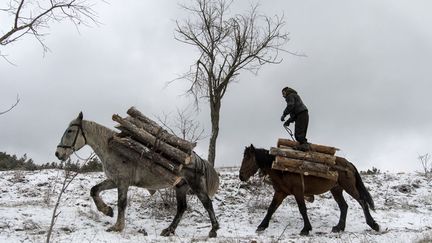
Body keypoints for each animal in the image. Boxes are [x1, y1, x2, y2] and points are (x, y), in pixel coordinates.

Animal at [54, 112, 219, 237]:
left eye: (70, 131)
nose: (58, 153)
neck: (112, 148)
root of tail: (196, 159)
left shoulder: (122, 182)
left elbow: (122, 203)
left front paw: (117, 227)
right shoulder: (113, 180)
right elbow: (94, 190)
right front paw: (107, 211)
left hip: (195, 185)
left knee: (207, 204)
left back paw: (213, 230)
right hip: (180, 187)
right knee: (181, 208)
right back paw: (169, 230)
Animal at [238, 144, 380, 235]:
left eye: (248, 158)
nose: (241, 176)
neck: (282, 169)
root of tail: (348, 164)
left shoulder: (298, 191)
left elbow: (302, 209)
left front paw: (305, 229)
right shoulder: (281, 192)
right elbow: (271, 208)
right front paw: (261, 226)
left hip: (349, 187)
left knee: (362, 202)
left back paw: (373, 224)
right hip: (336, 190)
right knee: (344, 206)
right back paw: (339, 227)